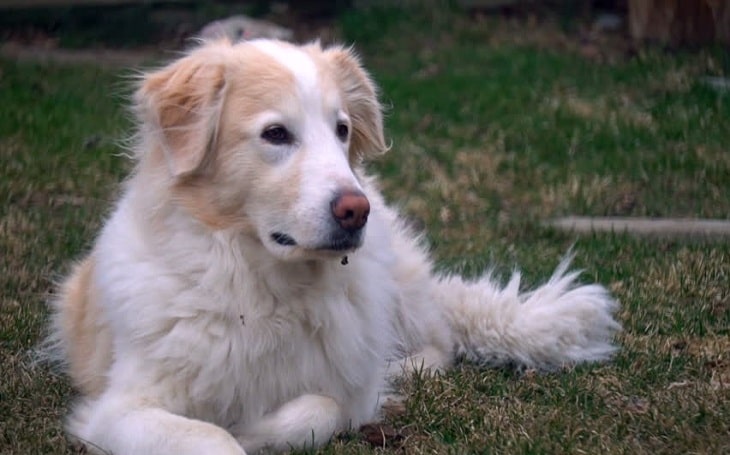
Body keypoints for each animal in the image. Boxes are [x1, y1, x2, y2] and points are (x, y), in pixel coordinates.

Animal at [48, 40, 620, 455]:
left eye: (342, 130)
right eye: (276, 134)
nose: (355, 209)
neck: (264, 290)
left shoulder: (342, 393)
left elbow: (321, 407)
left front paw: (255, 431)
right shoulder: (122, 408)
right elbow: (211, 439)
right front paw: (235, 432)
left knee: (437, 346)